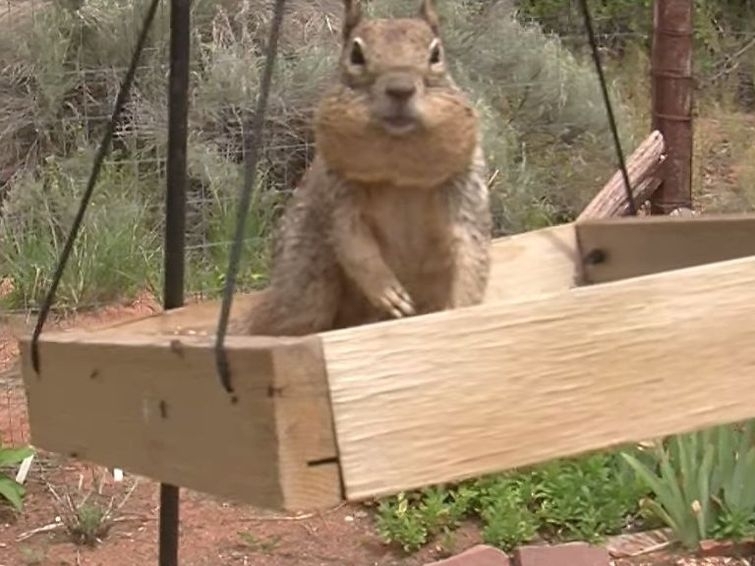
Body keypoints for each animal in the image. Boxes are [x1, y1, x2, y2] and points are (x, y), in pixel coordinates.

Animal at [239, 0, 494, 338]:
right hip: (305, 280)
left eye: (436, 54)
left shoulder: (465, 186)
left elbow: (471, 251)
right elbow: (353, 241)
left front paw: (463, 310)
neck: (398, 161)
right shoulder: (339, 190)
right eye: (355, 54)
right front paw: (387, 290)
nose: (400, 89)